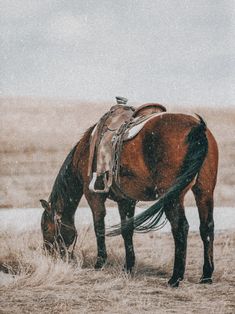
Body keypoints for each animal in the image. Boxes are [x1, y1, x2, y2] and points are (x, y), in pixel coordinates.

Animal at [40, 112, 218, 288]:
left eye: (46, 228)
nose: (49, 254)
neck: (84, 151)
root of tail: (198, 127)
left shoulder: (94, 197)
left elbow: (99, 227)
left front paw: (100, 263)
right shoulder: (126, 201)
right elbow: (127, 231)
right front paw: (128, 267)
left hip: (173, 197)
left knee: (180, 228)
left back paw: (175, 278)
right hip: (204, 191)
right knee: (206, 227)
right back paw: (206, 275)